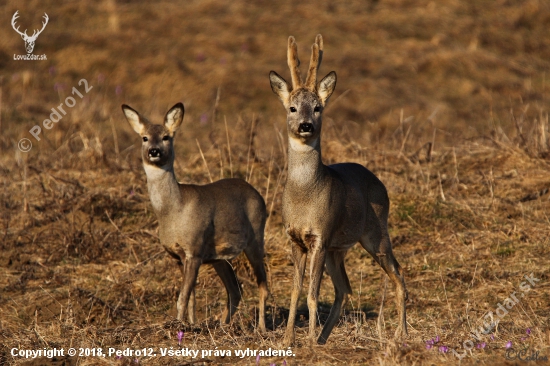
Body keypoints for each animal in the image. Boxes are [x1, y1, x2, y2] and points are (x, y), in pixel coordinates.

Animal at [125, 103, 272, 332]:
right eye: (145, 138)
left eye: (166, 137)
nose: (154, 151)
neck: (173, 211)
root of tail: (257, 194)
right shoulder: (179, 256)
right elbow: (191, 297)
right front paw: (192, 325)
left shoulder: (193, 250)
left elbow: (182, 297)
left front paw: (178, 325)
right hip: (219, 257)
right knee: (235, 289)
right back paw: (223, 326)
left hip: (256, 238)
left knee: (263, 285)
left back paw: (262, 329)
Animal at [270, 35, 408, 346]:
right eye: (292, 108)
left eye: (318, 107)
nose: (305, 125)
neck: (305, 195)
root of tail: (379, 182)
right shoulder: (296, 239)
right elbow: (296, 292)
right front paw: (288, 340)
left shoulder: (320, 236)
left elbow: (312, 294)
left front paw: (307, 341)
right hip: (338, 249)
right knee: (344, 289)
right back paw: (324, 337)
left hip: (375, 234)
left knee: (398, 275)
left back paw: (401, 334)